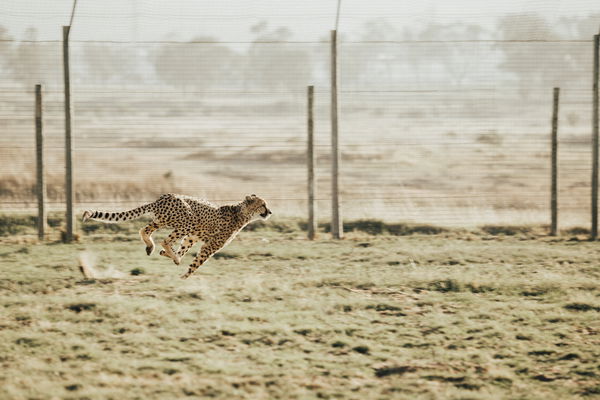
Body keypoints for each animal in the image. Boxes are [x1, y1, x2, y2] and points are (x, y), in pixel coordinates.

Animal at [81, 194, 272, 278]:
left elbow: (184, 248)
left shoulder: (193, 237)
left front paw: (171, 256)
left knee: (145, 230)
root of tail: (163, 197)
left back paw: (152, 248)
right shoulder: (209, 245)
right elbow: (197, 263)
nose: (269, 212)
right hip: (186, 221)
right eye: (263, 205)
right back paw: (168, 253)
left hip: (162, 221)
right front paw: (184, 276)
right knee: (165, 240)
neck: (241, 213)